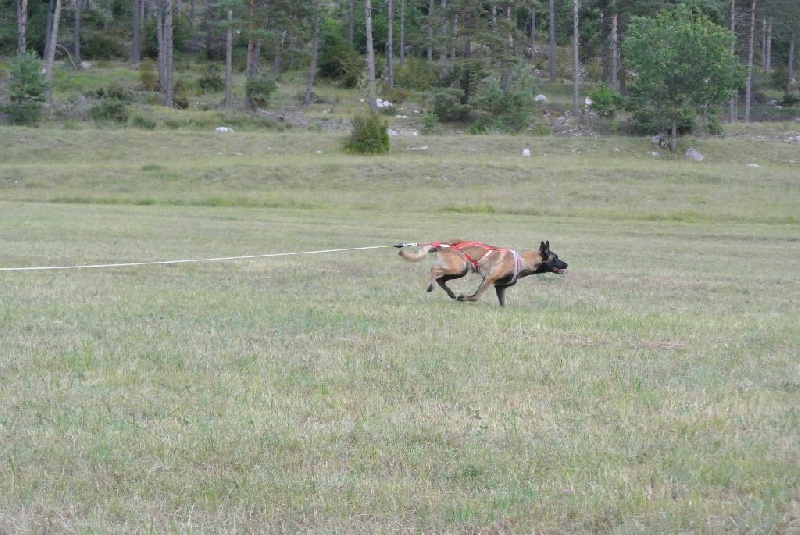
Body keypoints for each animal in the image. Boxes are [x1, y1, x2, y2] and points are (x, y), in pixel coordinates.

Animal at [396, 239, 564, 306]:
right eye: (555, 258)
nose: (566, 264)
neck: (521, 261)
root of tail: (443, 244)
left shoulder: (500, 287)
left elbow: (503, 302)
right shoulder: (489, 279)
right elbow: (476, 296)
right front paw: (464, 298)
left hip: (461, 270)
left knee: (441, 279)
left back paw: (451, 293)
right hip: (458, 267)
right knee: (434, 270)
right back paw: (432, 287)